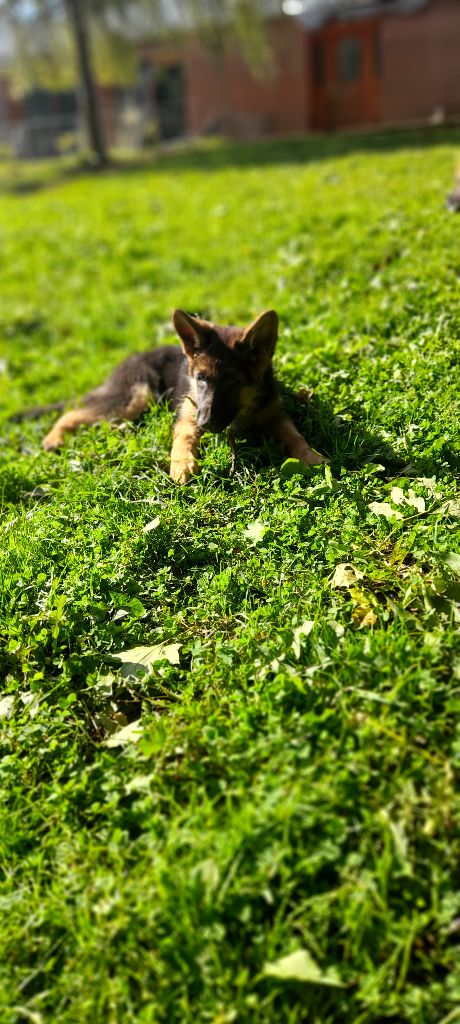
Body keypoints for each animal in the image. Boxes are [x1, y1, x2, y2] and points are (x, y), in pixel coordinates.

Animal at [26, 307, 325, 483]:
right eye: (201, 378)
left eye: (232, 381)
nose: (206, 423)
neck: (242, 411)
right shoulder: (189, 411)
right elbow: (183, 436)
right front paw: (182, 465)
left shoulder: (274, 414)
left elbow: (294, 436)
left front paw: (311, 456)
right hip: (136, 396)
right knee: (74, 412)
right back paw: (53, 438)